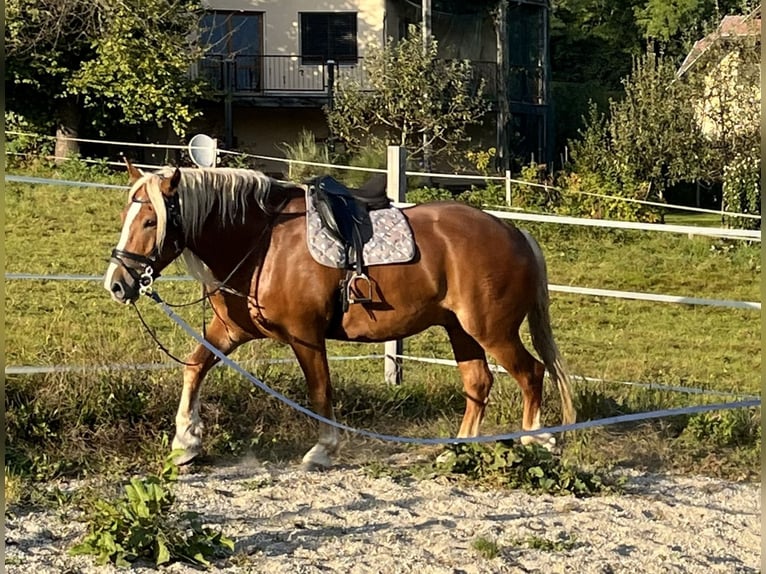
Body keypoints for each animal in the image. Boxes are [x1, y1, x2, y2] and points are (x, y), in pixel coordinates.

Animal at [103, 161, 576, 468]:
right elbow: (195, 368)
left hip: (492, 330)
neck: (262, 243)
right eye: (127, 214)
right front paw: (186, 442)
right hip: (461, 331)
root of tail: (514, 232)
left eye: (150, 221)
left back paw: (536, 441)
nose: (117, 283)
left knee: (531, 374)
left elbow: (320, 391)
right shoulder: (230, 330)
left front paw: (324, 450)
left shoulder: (305, 336)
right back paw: (458, 450)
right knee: (478, 383)